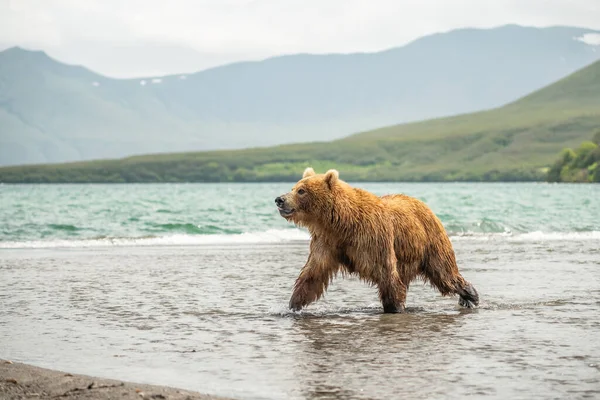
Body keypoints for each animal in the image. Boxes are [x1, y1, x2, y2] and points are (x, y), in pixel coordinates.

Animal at [276, 166, 478, 312]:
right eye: (294, 187)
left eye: (301, 191)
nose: (279, 199)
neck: (342, 222)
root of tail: (424, 205)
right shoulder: (327, 242)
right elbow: (313, 273)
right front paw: (293, 305)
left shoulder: (373, 239)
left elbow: (386, 274)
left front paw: (394, 307)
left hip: (430, 242)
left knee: (444, 273)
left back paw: (470, 295)